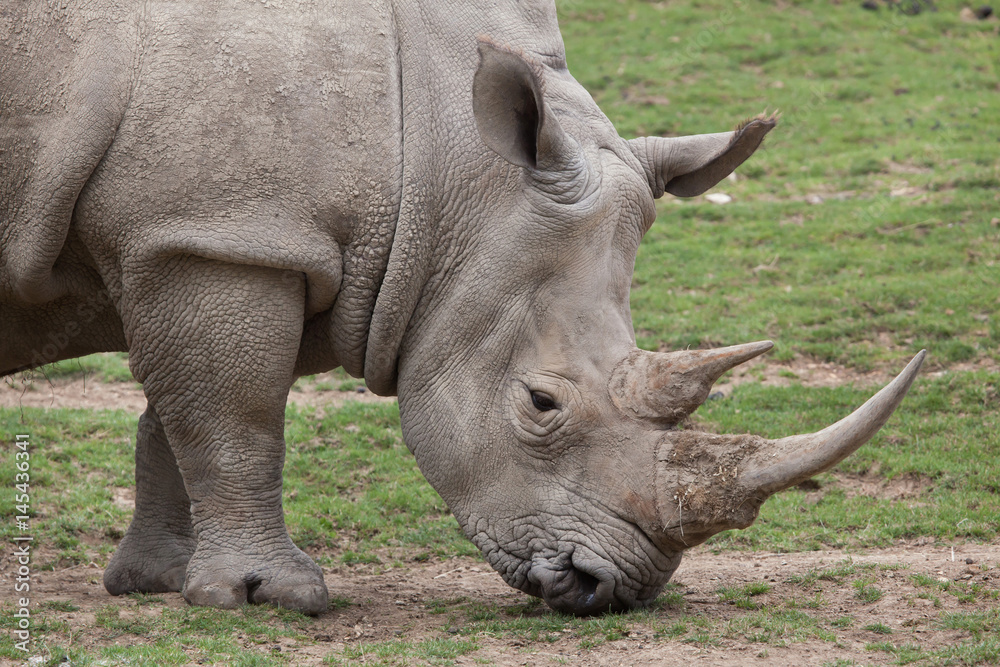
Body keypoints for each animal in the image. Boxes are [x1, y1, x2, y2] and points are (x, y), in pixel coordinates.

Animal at [1, 0, 924, 616]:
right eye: (541, 402)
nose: (606, 587)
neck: (440, 155)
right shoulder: (218, 234)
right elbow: (234, 418)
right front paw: (269, 596)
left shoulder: (212, 237)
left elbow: (175, 413)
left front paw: (157, 581)